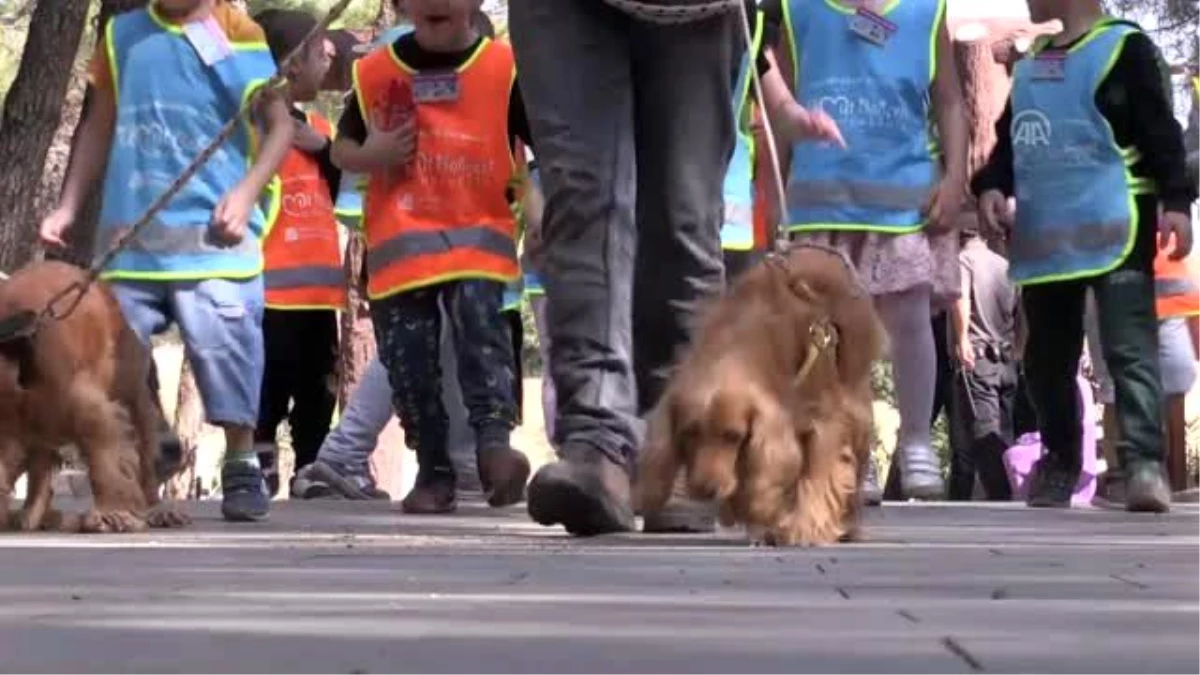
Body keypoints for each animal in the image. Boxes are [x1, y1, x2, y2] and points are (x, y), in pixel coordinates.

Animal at [0, 261, 188, 530]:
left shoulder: (87, 405)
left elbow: (103, 447)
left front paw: (112, 512)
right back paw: (31, 515)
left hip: (131, 385)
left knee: (144, 443)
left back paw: (157, 508)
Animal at [638, 243, 883, 542]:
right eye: (689, 433)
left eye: (733, 436)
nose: (707, 490)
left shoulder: (825, 421)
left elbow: (818, 476)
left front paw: (805, 527)